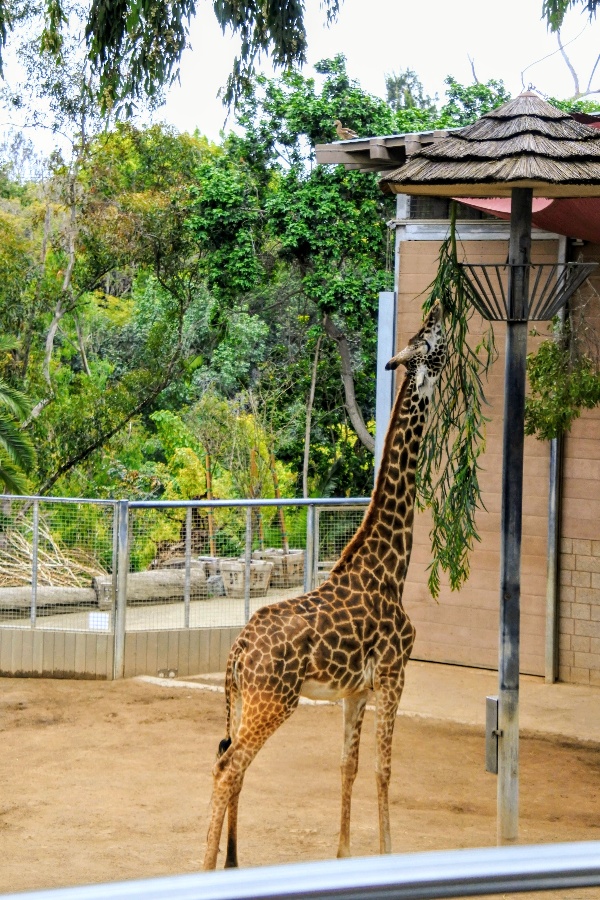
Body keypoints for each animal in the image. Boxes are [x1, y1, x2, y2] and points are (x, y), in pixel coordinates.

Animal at [204, 302, 448, 872]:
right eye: (431, 342)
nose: (440, 308)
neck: (391, 566)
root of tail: (235, 655)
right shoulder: (394, 673)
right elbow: (384, 768)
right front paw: (386, 853)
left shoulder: (354, 690)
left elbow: (348, 766)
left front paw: (342, 855)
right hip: (274, 702)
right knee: (228, 768)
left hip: (244, 700)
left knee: (229, 763)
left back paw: (231, 864)